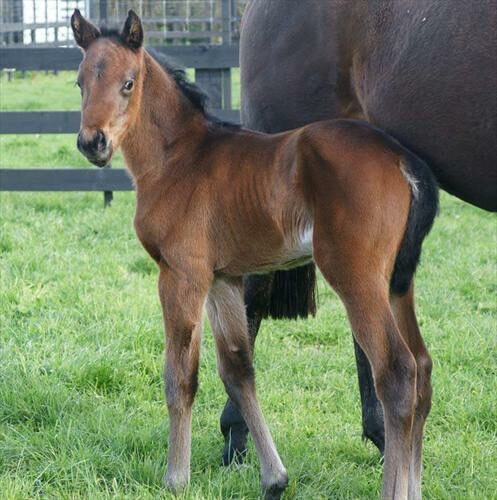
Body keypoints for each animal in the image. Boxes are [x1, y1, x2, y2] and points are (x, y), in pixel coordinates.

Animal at [70, 9, 438, 498]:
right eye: (79, 82)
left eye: (128, 83)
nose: (92, 142)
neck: (178, 158)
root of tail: (402, 159)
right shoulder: (224, 279)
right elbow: (238, 369)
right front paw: (274, 478)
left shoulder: (181, 274)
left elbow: (180, 375)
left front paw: (176, 478)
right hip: (398, 280)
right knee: (422, 368)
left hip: (356, 276)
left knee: (397, 373)